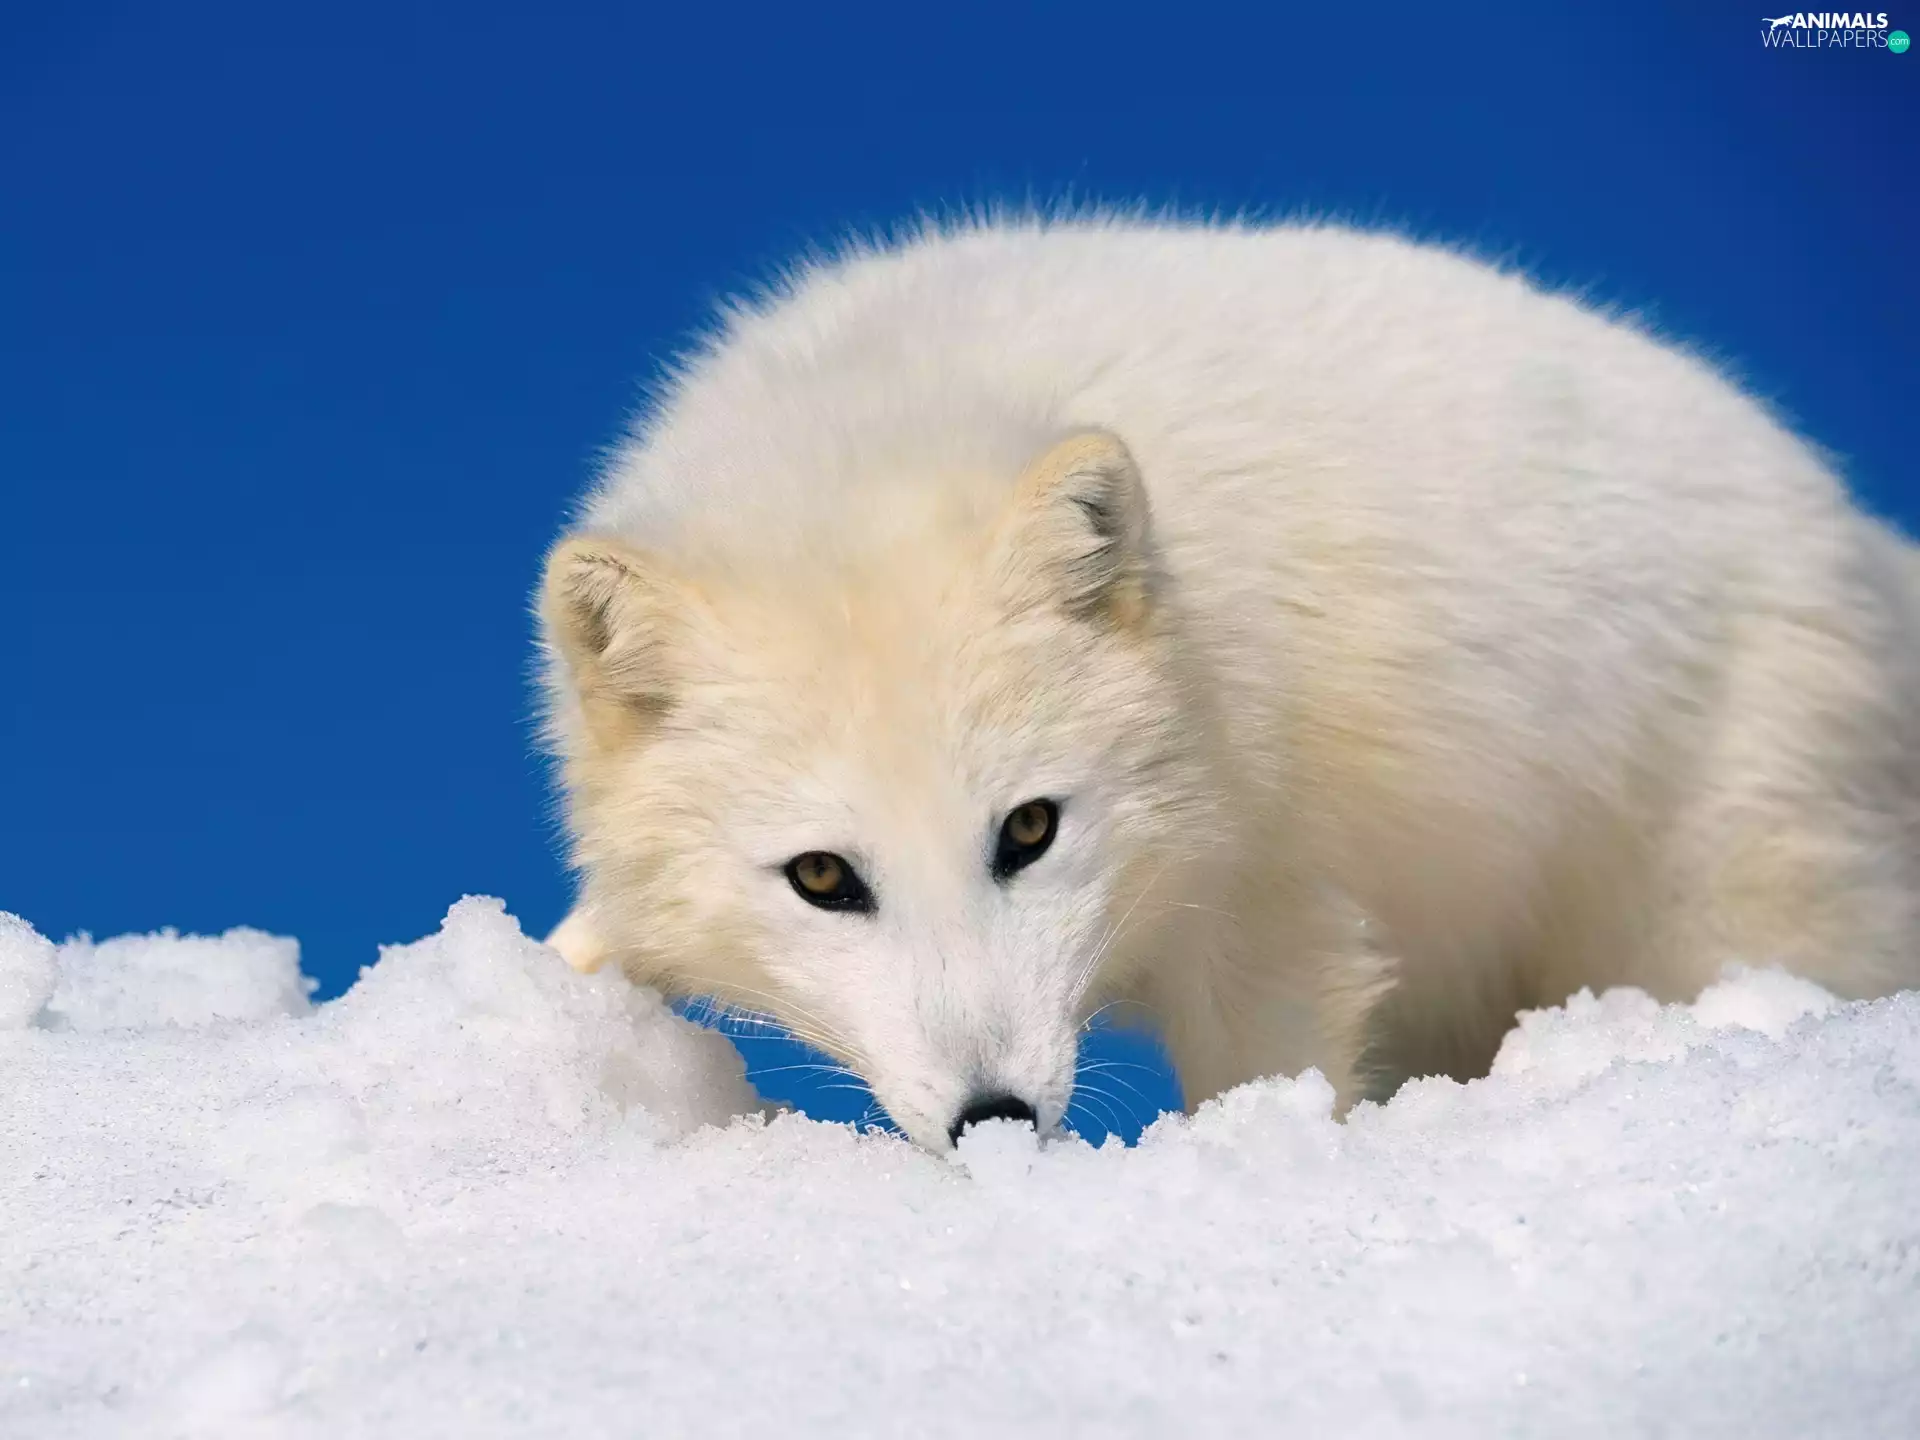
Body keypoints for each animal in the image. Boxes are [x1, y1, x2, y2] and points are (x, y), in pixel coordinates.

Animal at [535, 214, 1920, 1153]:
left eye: (1029, 830)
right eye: (823, 878)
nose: (994, 1118)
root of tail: (1858, 536)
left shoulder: (1272, 906)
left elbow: (1274, 1072)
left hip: (1718, 911)